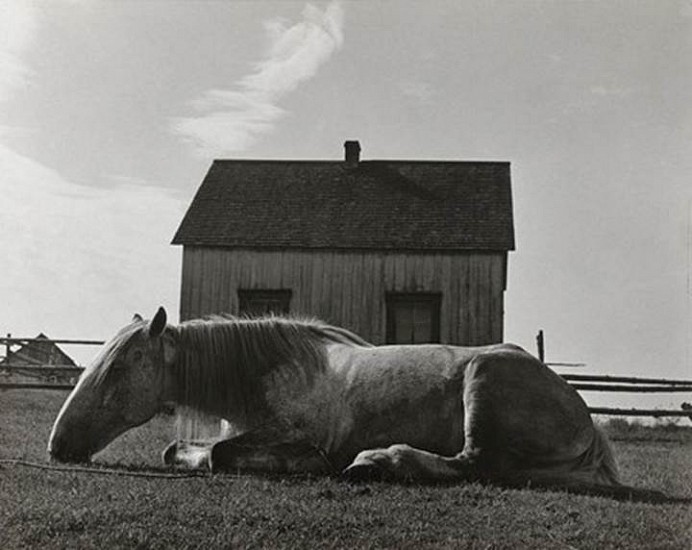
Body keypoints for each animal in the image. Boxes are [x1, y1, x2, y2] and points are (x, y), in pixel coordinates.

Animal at [48, 308, 664, 502]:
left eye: (120, 368)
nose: (58, 445)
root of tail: (585, 420)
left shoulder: (293, 437)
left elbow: (223, 455)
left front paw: (315, 465)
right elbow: (184, 449)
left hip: (484, 379)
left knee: (475, 463)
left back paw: (380, 461)